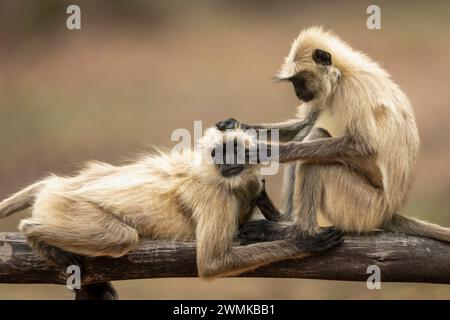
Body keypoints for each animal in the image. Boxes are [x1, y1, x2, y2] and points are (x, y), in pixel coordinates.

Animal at [0, 126, 342, 298]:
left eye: (234, 149)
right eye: (219, 152)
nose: (228, 162)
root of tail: (56, 187)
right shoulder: (215, 194)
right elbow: (211, 263)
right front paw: (304, 242)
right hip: (67, 206)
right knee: (119, 238)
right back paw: (33, 233)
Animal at [216, 26, 448, 244]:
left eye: (299, 81)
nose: (298, 93)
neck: (342, 73)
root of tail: (388, 212)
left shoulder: (353, 88)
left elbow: (363, 146)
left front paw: (267, 151)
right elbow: (305, 123)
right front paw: (234, 125)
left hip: (363, 207)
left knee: (316, 148)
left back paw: (300, 233)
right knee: (306, 133)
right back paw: (283, 217)